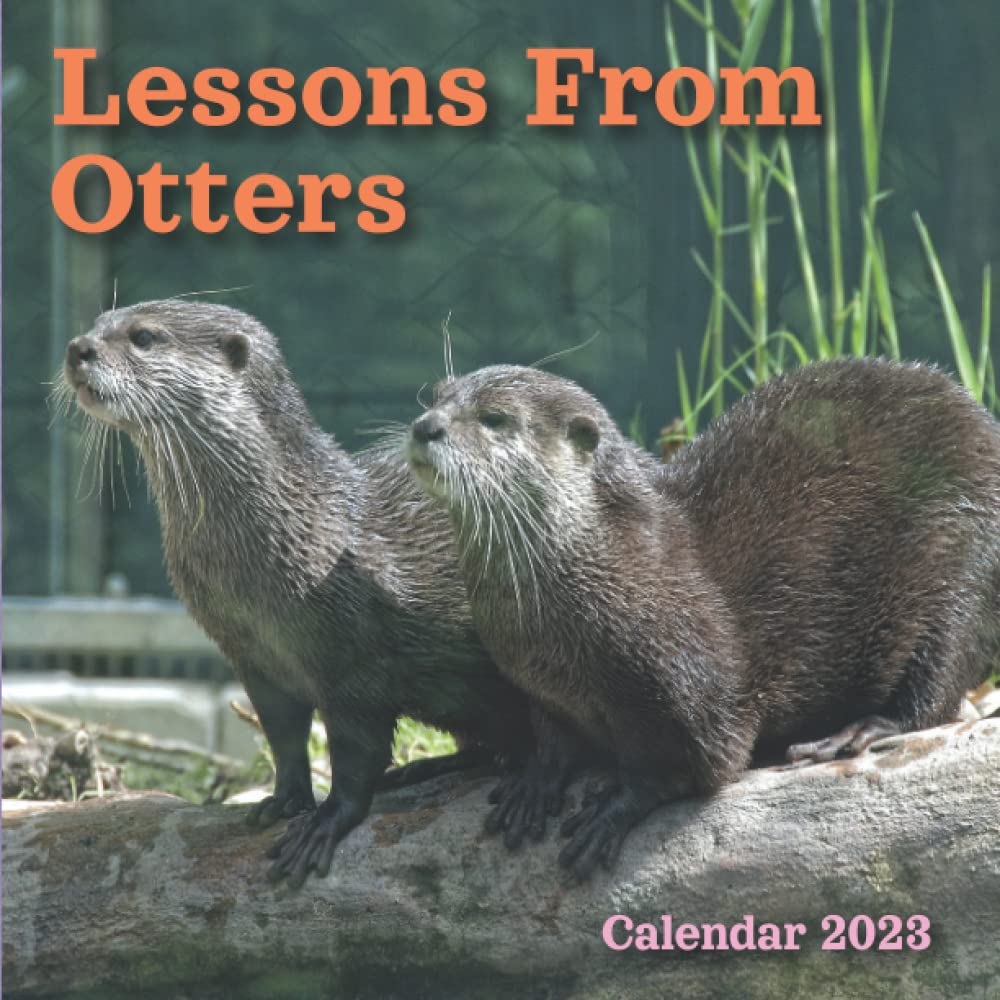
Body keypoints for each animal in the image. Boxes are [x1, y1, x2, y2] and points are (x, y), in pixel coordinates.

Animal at [60, 299, 533, 886]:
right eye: (98, 323)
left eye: (143, 336)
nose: (78, 348)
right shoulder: (253, 658)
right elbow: (283, 737)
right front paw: (282, 802)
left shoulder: (354, 662)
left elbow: (356, 752)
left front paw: (326, 820)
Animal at [406, 359, 1000, 879]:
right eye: (436, 395)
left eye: (495, 418)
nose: (425, 426)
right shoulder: (539, 688)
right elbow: (553, 741)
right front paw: (535, 782)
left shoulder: (692, 682)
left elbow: (697, 763)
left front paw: (615, 807)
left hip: (965, 566)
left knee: (934, 690)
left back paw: (852, 733)